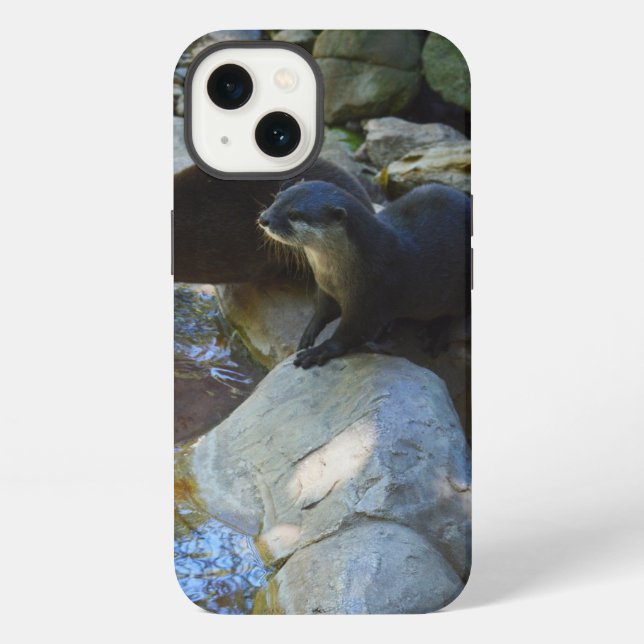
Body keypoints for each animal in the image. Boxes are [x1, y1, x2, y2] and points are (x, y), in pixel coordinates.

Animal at [258, 180, 471, 368]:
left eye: (294, 214)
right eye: (277, 198)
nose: (264, 219)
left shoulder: (374, 293)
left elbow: (354, 332)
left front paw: (320, 351)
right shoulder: (326, 288)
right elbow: (324, 310)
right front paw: (310, 331)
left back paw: (435, 333)